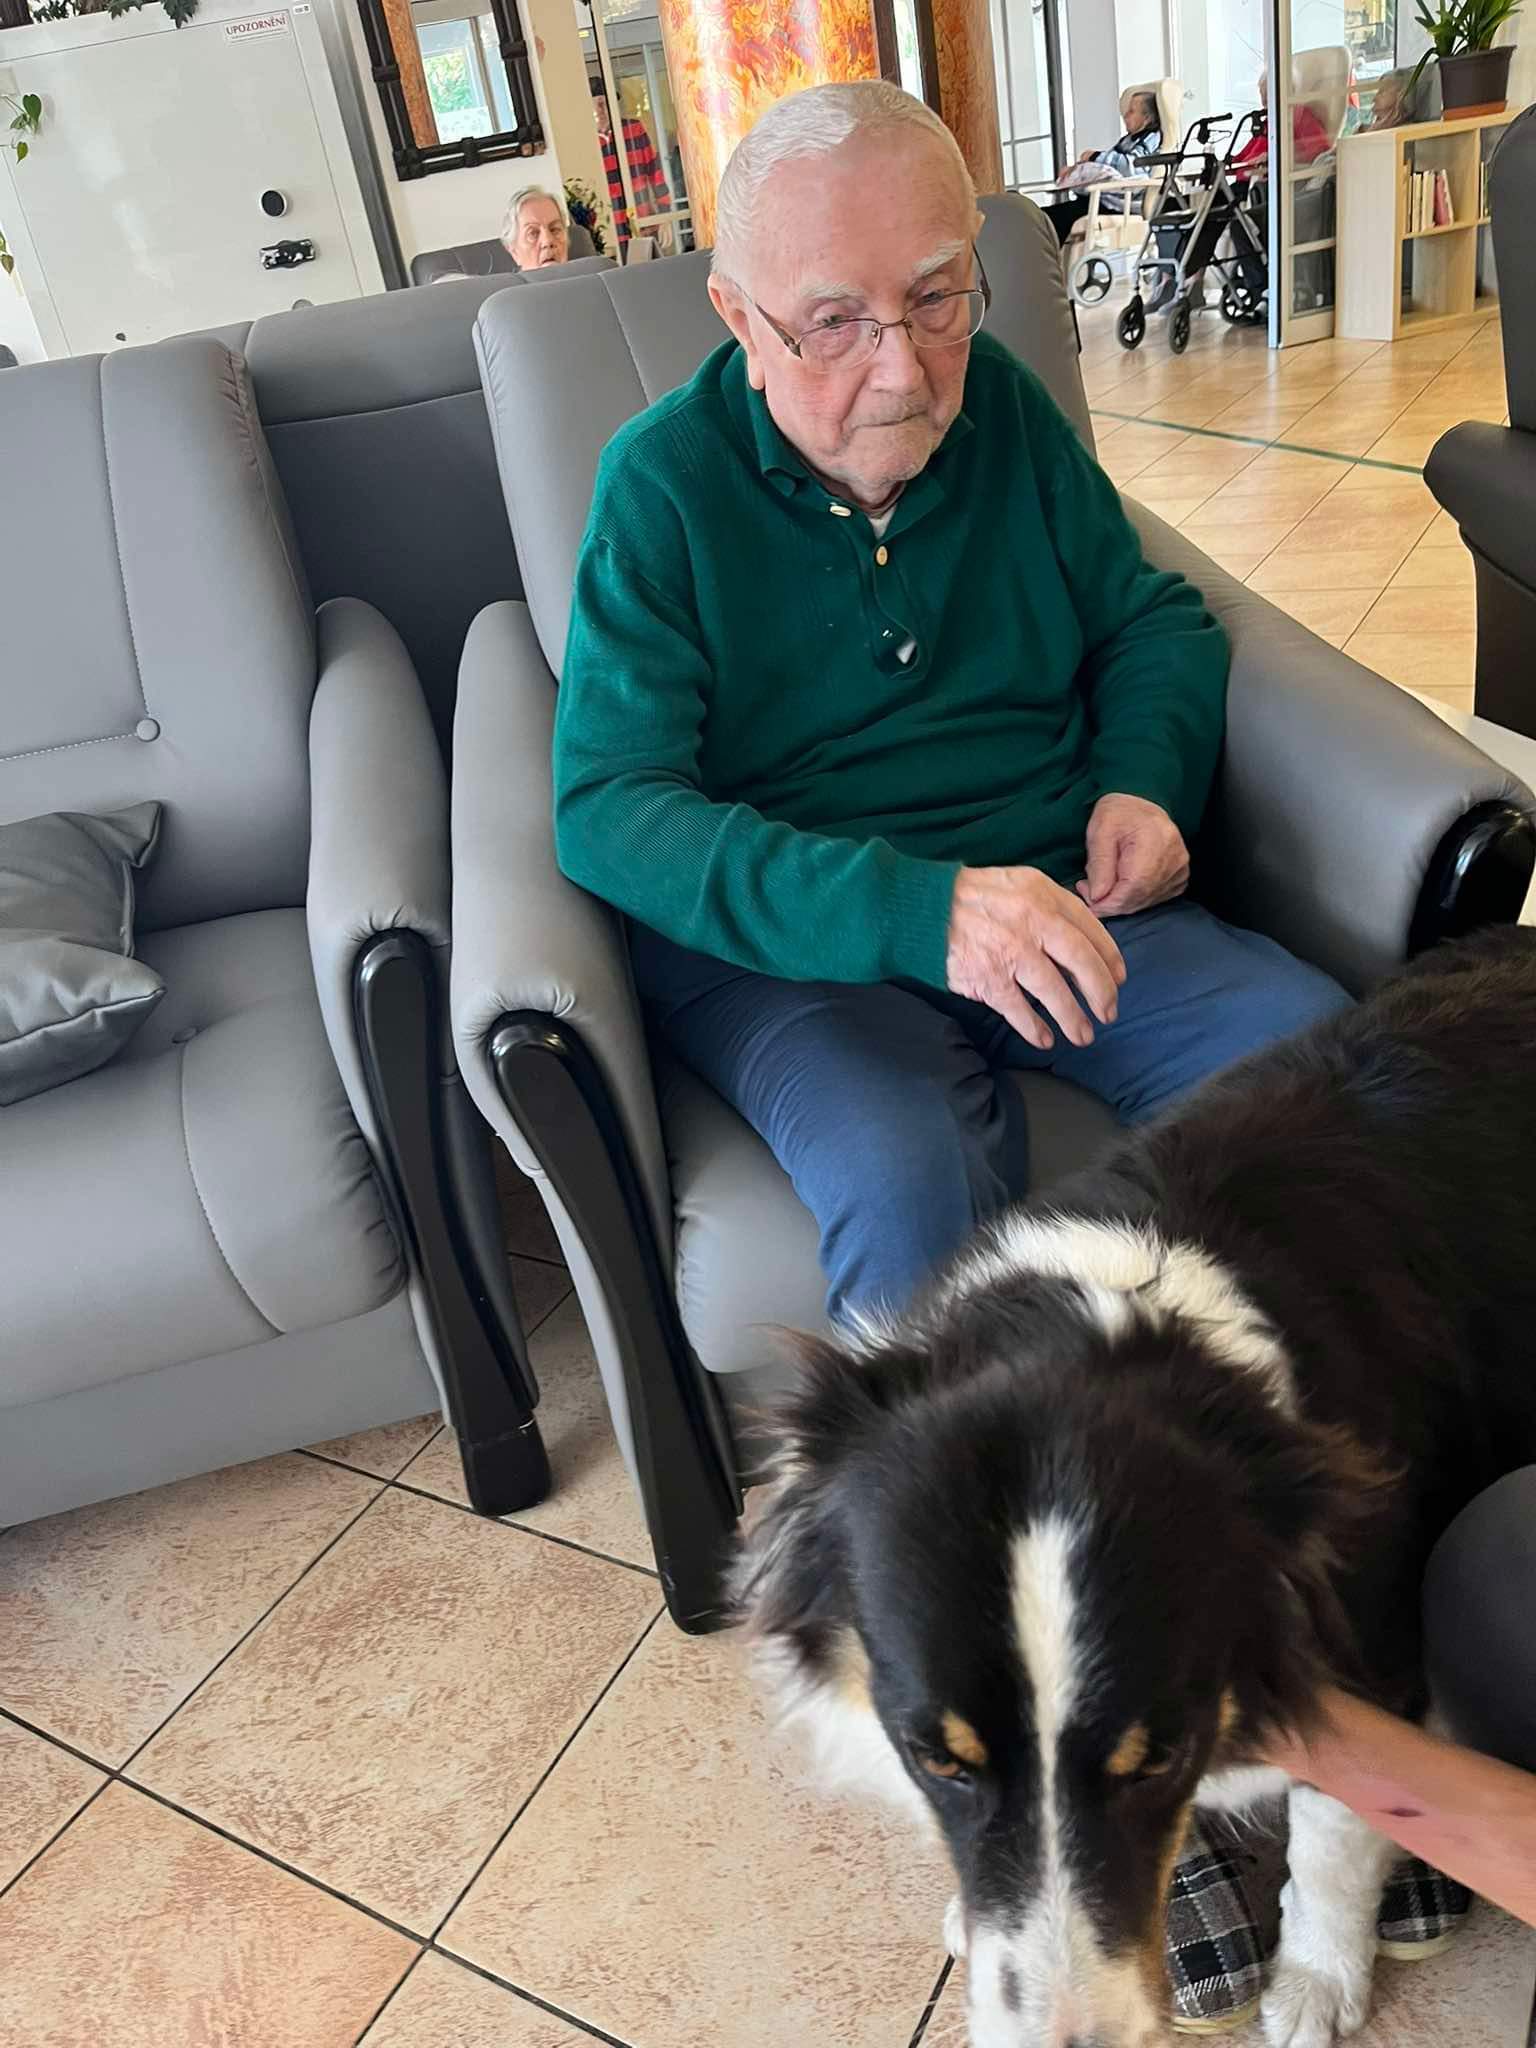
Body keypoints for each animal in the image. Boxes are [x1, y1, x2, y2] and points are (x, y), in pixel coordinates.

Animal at [734, 927, 1536, 2048]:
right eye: (941, 1761)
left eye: (1159, 1759)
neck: (1082, 1333)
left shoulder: (1369, 1648)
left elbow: (1337, 1835)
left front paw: (1317, 1983)